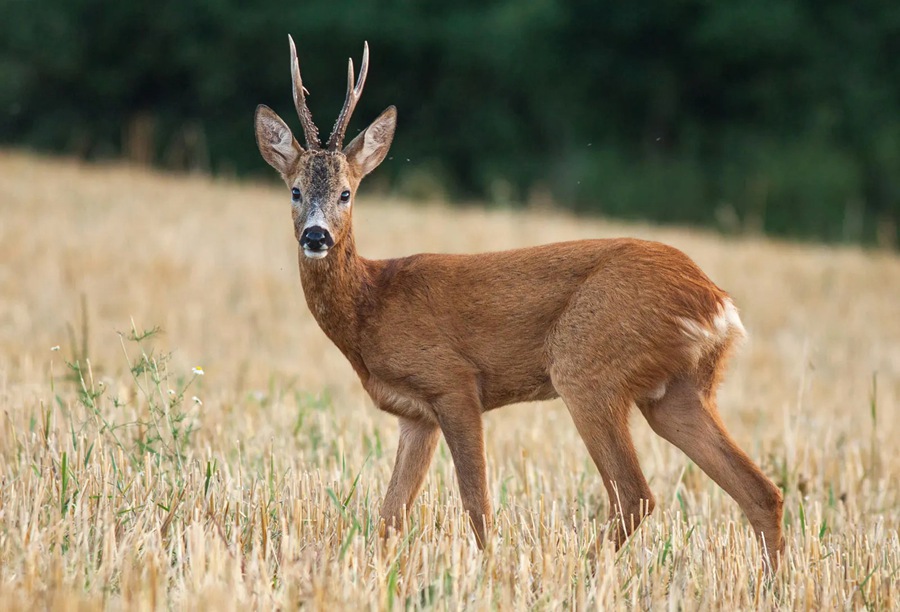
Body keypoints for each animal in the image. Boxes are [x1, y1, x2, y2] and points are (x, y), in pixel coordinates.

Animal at [254, 36, 785, 566]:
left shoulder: (453, 382)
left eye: (346, 193)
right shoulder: (415, 415)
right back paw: (769, 580)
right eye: (295, 191)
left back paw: (581, 570)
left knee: (635, 495)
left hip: (588, 368)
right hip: (677, 391)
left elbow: (477, 504)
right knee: (761, 491)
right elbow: (390, 517)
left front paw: (490, 569)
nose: (317, 236)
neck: (371, 305)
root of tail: (717, 303)